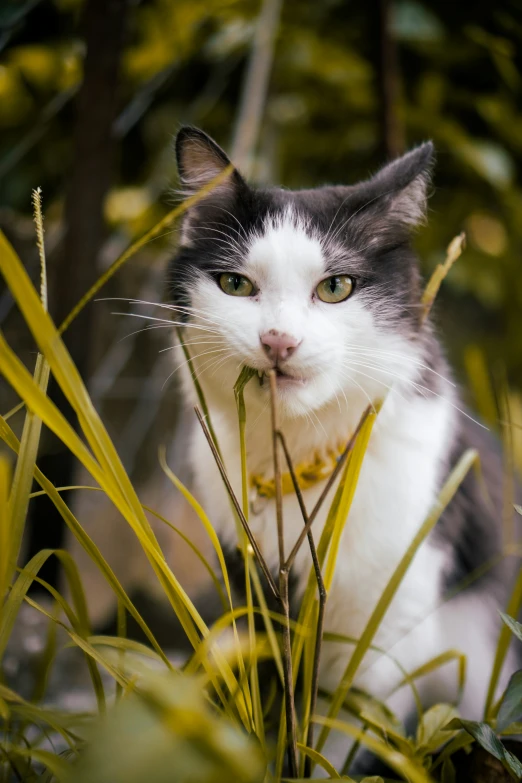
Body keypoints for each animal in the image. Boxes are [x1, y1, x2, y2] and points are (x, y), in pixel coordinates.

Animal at [169, 125, 516, 776]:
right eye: (235, 285)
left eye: (335, 288)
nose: (278, 341)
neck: (301, 460)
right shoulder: (250, 587)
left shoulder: (391, 617)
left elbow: (340, 725)